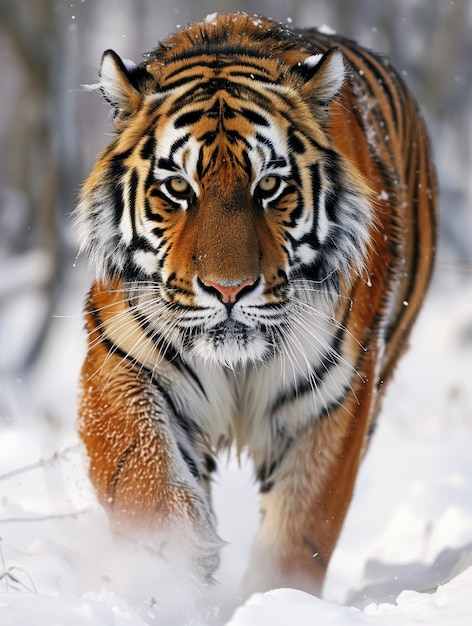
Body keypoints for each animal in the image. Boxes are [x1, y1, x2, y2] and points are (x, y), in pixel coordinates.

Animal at [75, 12, 436, 592]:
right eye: (178, 188)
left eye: (268, 186)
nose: (229, 289)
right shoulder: (121, 356)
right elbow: (145, 482)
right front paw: (174, 577)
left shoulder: (336, 396)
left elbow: (300, 533)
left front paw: (275, 599)